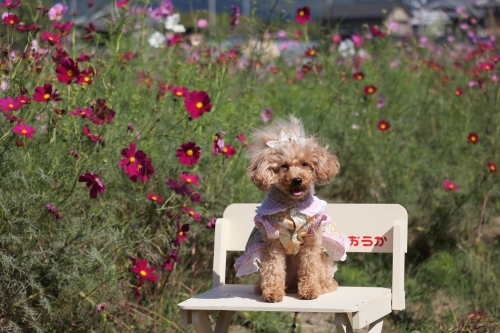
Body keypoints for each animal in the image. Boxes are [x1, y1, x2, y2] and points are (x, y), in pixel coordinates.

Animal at [233, 116, 348, 300]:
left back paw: (322, 287)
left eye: (305, 164)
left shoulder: (311, 240)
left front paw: (310, 291)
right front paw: (272, 293)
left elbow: (309, 267)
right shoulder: (273, 242)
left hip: (323, 265)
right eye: (284, 166)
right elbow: (273, 268)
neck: (292, 205)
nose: (297, 180)